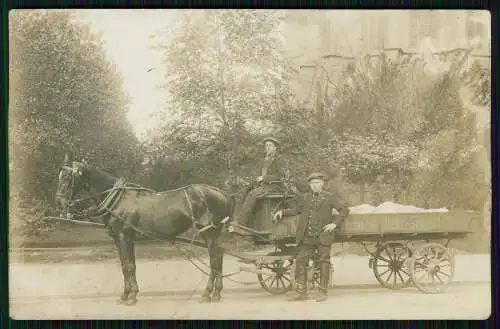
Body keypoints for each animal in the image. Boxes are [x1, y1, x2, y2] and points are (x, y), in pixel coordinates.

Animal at [53, 154, 233, 304]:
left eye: (67, 178)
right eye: (60, 177)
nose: (59, 202)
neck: (119, 200)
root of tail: (221, 193)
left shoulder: (124, 237)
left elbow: (128, 266)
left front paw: (130, 296)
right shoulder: (122, 239)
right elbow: (127, 265)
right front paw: (128, 294)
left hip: (209, 232)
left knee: (214, 259)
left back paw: (207, 293)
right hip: (212, 233)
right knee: (219, 255)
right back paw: (217, 292)